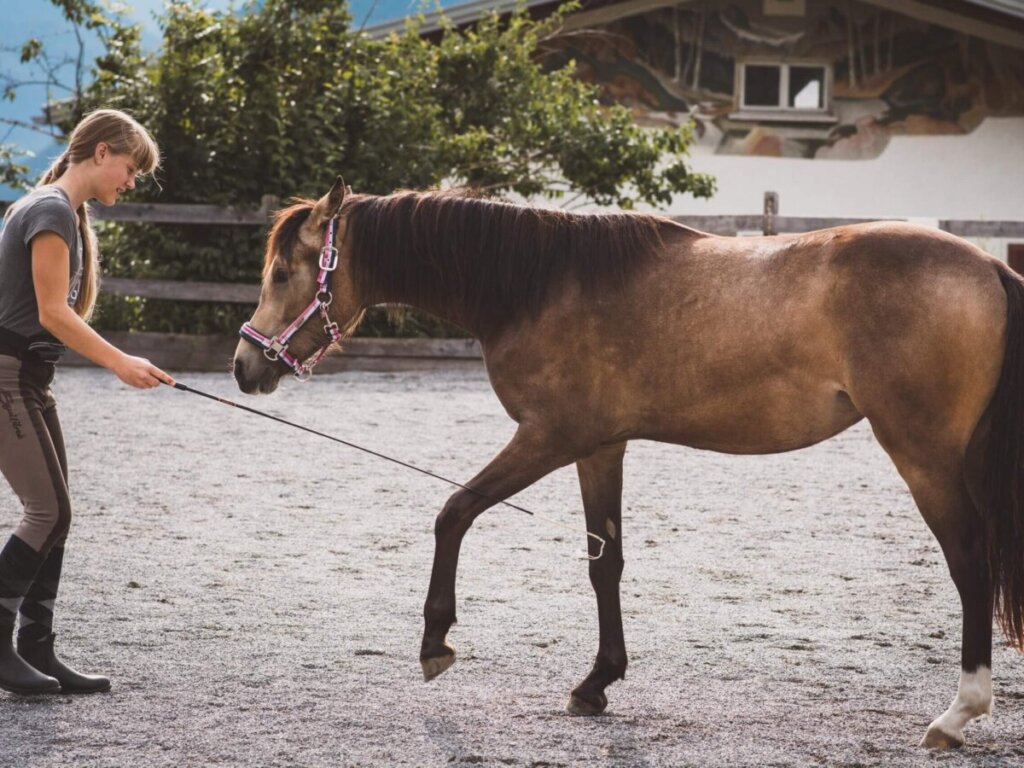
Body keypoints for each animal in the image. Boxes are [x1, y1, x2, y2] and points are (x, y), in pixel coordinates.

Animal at [232, 177, 1024, 749]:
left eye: (282, 272)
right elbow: (604, 563)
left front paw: (435, 641)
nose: (244, 366)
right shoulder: (599, 447)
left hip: (923, 456)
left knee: (970, 564)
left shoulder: (549, 436)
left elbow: (453, 512)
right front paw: (597, 682)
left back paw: (957, 714)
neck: (538, 284)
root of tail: (988, 263)